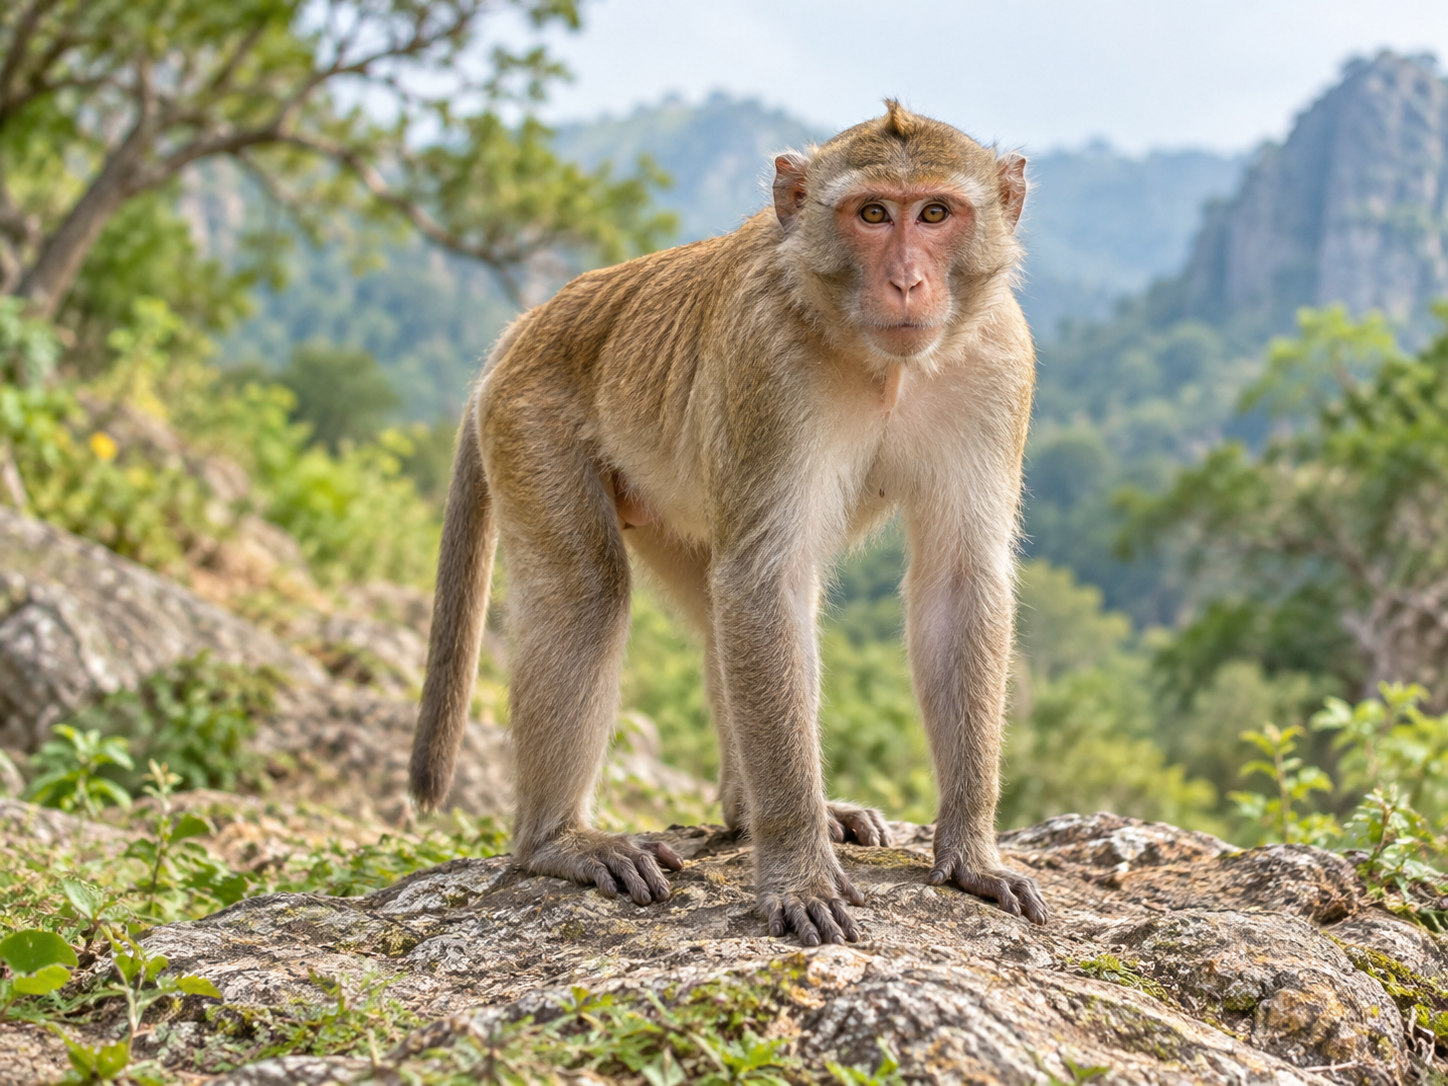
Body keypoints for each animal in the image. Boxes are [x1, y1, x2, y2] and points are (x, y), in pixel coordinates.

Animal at [410, 100, 1048, 945]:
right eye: (873, 214)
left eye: (936, 214)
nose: (908, 281)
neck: (881, 363)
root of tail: (524, 329)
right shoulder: (765, 365)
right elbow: (763, 583)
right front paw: (798, 873)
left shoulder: (1000, 364)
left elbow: (958, 583)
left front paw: (971, 851)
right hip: (528, 421)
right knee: (590, 593)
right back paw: (559, 841)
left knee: (718, 610)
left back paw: (749, 814)